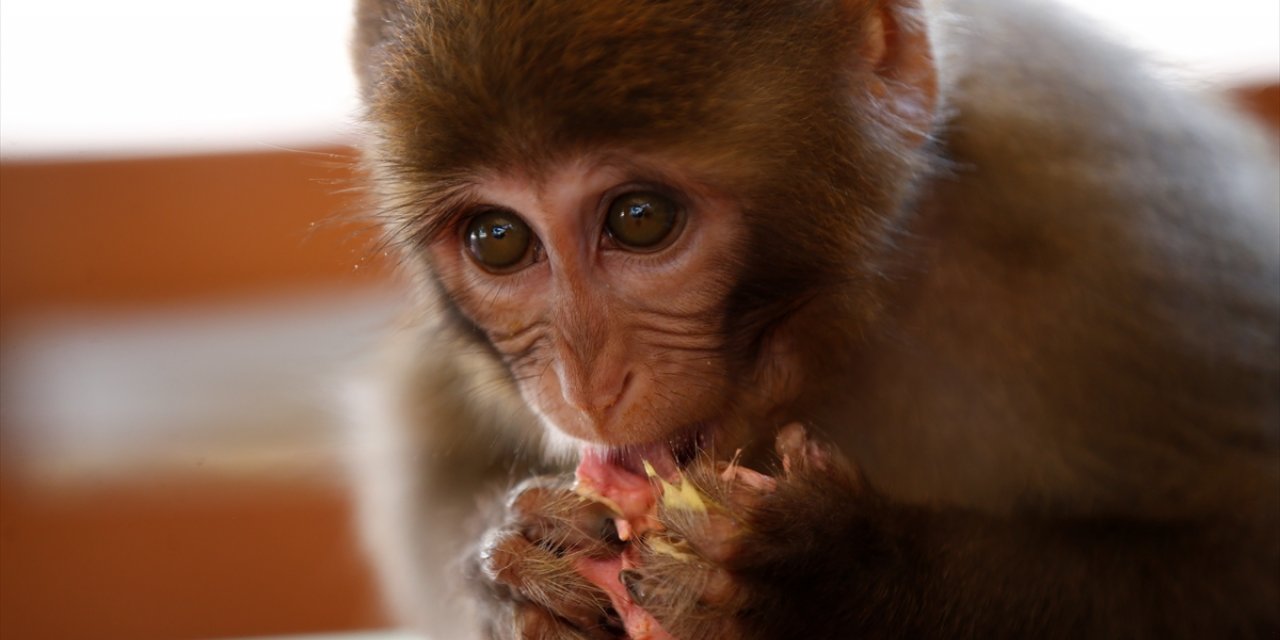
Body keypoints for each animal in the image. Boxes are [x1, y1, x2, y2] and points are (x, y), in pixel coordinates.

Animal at [340, 0, 1280, 637]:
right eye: (497, 239)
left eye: (640, 219)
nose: (586, 384)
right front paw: (506, 574)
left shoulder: (1120, 238)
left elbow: (1244, 558)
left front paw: (844, 579)